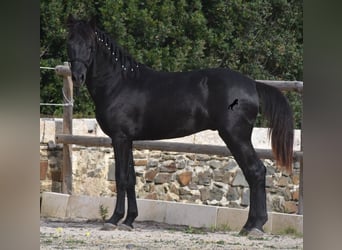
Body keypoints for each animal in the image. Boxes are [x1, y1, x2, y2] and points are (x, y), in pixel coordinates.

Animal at [67, 16, 294, 235]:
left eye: (90, 46)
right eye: (70, 43)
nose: (77, 77)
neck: (119, 83)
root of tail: (253, 85)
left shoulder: (119, 138)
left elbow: (121, 178)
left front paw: (113, 220)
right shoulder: (128, 140)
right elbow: (131, 178)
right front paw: (129, 220)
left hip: (236, 136)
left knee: (255, 171)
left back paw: (255, 226)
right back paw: (249, 225)